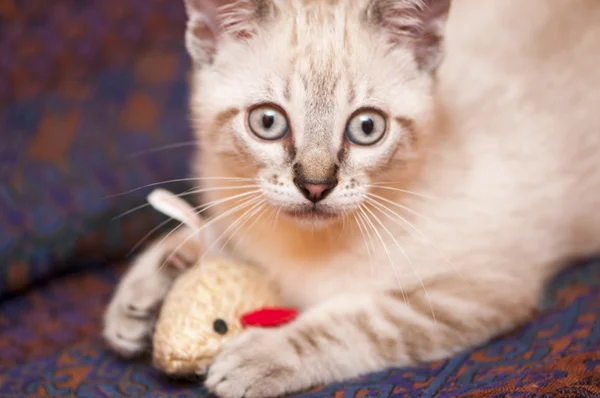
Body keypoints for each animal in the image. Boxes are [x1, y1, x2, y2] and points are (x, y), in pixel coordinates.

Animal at [102, 0, 600, 398]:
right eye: (268, 122)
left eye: (366, 128)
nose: (315, 186)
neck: (303, 250)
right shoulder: (242, 212)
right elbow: (198, 237)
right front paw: (139, 300)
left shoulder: (476, 291)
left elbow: (353, 326)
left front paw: (260, 357)